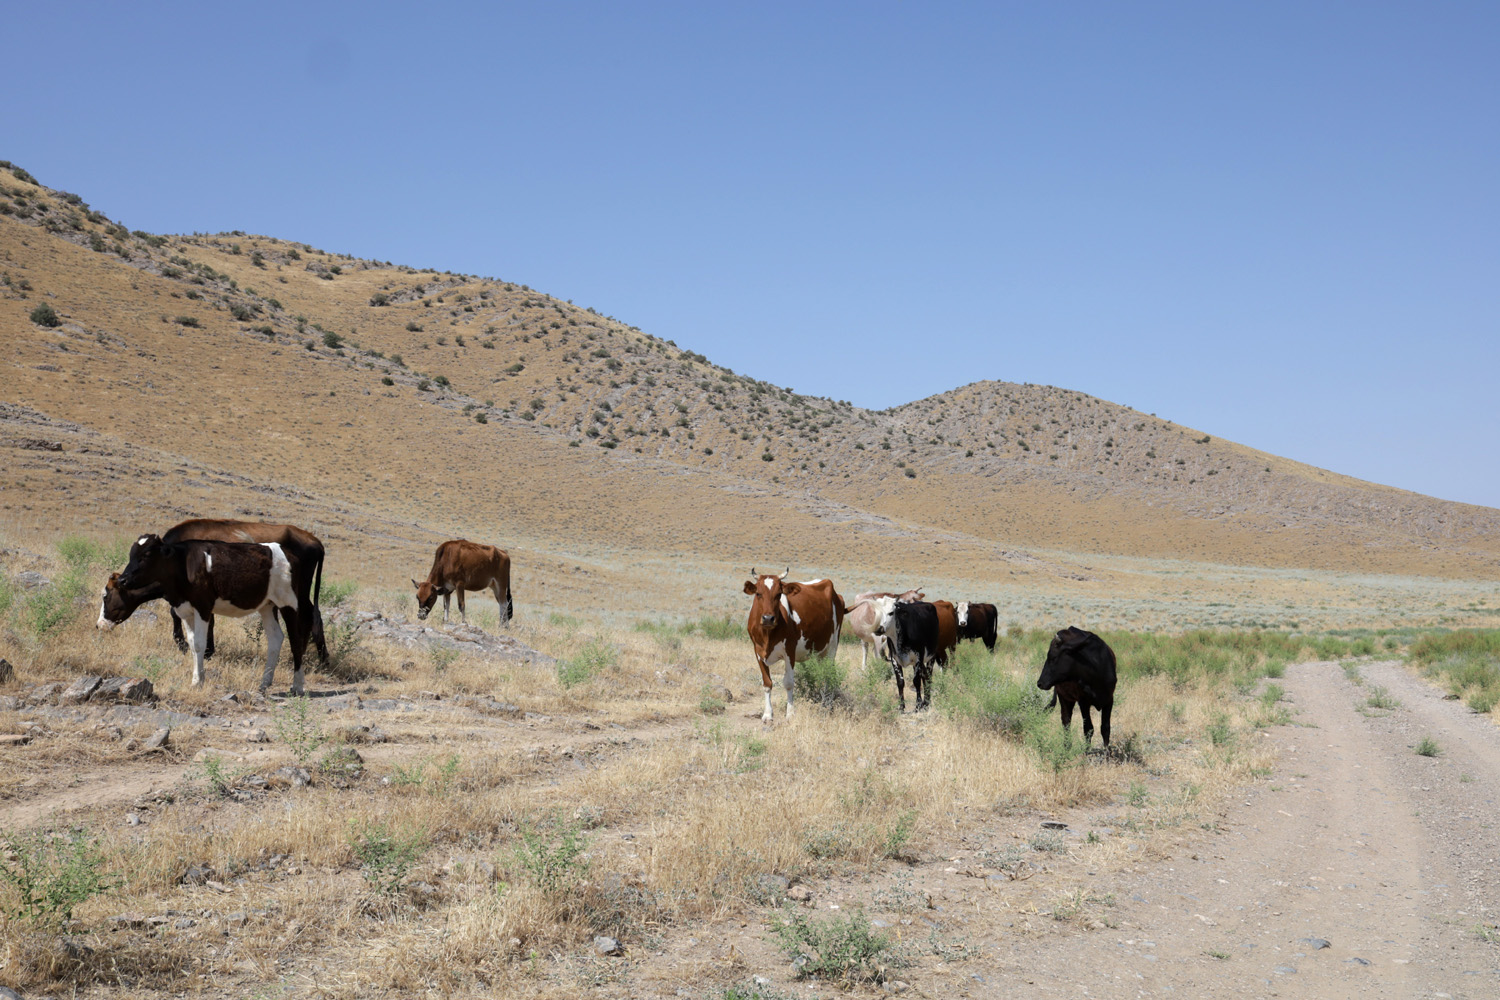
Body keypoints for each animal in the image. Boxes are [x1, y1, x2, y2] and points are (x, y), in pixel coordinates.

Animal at [99, 536, 313, 692]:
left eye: (147, 554)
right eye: (131, 554)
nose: (99, 624)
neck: (181, 567)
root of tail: (289, 552)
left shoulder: (202, 607)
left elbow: (200, 644)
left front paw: (196, 682)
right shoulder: (185, 610)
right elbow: (193, 644)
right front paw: (199, 678)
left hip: (289, 602)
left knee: (296, 640)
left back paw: (297, 685)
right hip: (267, 606)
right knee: (276, 638)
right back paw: (265, 682)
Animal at [741, 566, 846, 722]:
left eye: (779, 594)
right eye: (758, 593)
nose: (768, 618)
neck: (767, 636)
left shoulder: (789, 651)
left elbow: (789, 683)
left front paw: (790, 713)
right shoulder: (758, 652)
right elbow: (767, 683)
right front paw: (767, 714)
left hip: (832, 645)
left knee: (828, 674)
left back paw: (826, 706)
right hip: (819, 651)